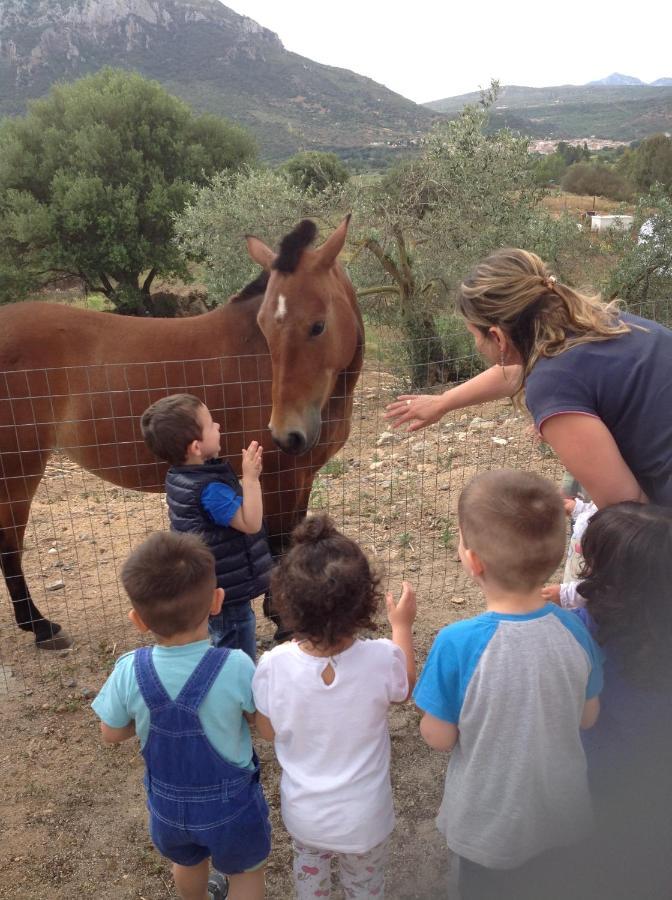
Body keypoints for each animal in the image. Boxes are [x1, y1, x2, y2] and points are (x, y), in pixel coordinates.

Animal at [0, 217, 364, 648]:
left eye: (317, 326)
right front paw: (283, 622)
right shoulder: (279, 478)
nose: (286, 434)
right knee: (8, 546)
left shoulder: (301, 477)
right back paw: (40, 626)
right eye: (264, 328)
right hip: (18, 470)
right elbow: (277, 547)